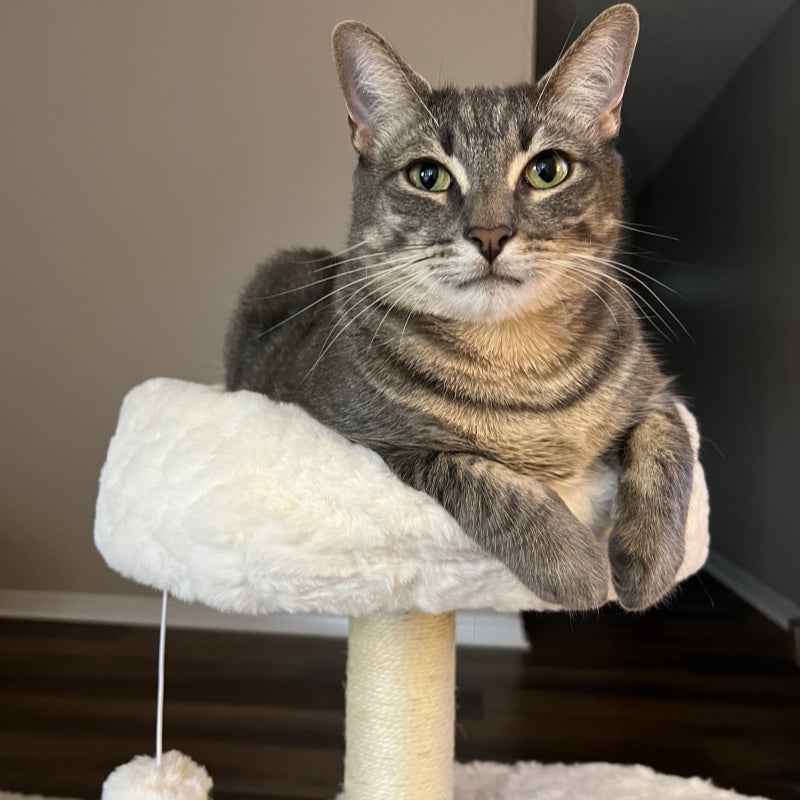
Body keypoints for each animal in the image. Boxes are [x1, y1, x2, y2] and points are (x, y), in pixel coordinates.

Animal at [223, 3, 692, 608]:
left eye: (547, 170)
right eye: (429, 176)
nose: (490, 234)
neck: (520, 363)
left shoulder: (657, 393)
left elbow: (668, 450)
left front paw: (650, 562)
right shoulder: (373, 443)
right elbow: (486, 481)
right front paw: (576, 566)